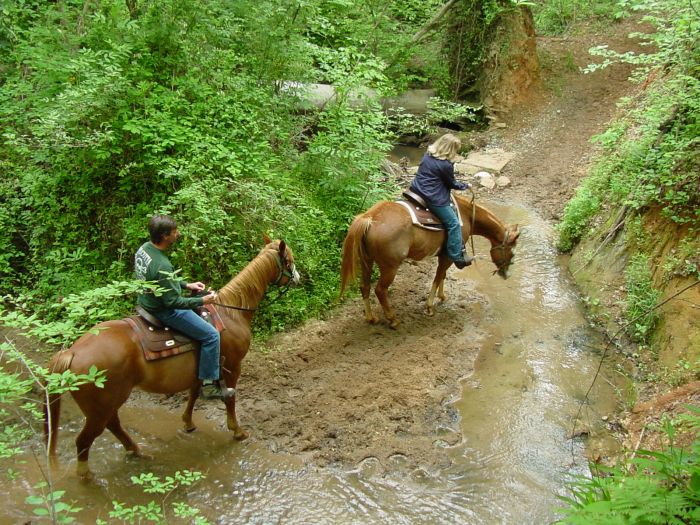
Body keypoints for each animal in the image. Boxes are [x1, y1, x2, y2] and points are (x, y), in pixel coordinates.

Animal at [43, 239, 300, 476]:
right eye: (289, 260)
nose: (299, 278)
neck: (231, 312)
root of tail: (72, 352)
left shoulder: (202, 366)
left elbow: (194, 393)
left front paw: (188, 423)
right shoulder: (232, 366)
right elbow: (230, 399)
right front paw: (237, 431)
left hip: (107, 403)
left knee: (112, 425)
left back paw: (136, 451)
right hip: (100, 407)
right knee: (85, 440)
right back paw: (86, 476)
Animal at [340, 195, 520, 328]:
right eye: (512, 252)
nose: (506, 274)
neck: (466, 215)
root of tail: (370, 217)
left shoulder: (444, 256)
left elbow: (442, 276)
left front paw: (442, 296)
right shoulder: (448, 256)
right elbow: (438, 276)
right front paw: (430, 306)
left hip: (367, 261)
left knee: (364, 286)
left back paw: (371, 318)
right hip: (389, 267)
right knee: (380, 290)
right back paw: (393, 319)